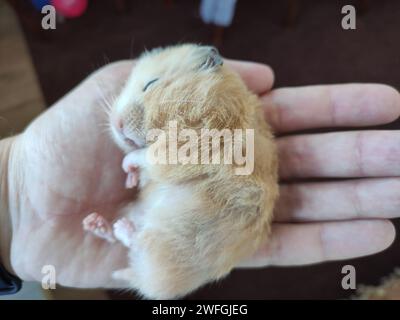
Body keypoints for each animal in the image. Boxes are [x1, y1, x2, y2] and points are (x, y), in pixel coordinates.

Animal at [82, 43, 278, 298]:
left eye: (151, 83)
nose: (117, 124)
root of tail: (140, 278)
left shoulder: (184, 146)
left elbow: (145, 155)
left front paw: (128, 169)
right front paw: (131, 180)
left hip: (174, 240)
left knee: (137, 242)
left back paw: (120, 227)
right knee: (118, 239)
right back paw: (95, 222)